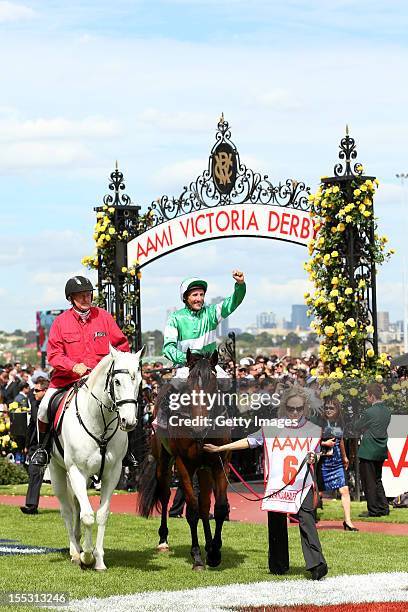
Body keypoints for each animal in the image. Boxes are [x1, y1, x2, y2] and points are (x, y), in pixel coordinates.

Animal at [48, 344, 144, 568]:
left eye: (139, 381)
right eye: (117, 381)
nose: (129, 421)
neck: (100, 423)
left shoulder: (112, 473)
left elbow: (101, 515)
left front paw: (98, 558)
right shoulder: (76, 471)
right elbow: (87, 516)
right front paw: (86, 555)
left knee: (75, 507)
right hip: (57, 472)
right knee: (67, 511)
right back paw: (75, 551)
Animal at [137, 352, 231, 572]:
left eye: (213, 383)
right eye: (189, 384)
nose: (199, 428)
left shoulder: (220, 463)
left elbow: (219, 507)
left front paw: (214, 552)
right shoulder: (184, 464)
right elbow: (192, 510)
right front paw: (197, 557)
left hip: (204, 468)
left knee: (205, 505)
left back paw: (209, 546)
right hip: (164, 460)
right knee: (164, 495)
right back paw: (163, 541)